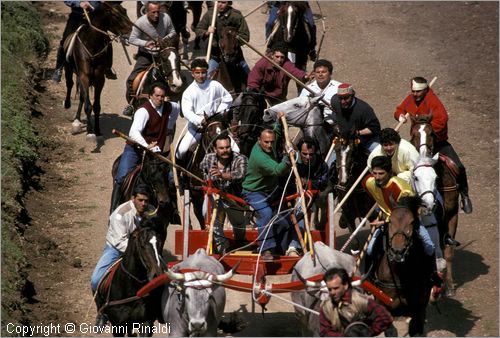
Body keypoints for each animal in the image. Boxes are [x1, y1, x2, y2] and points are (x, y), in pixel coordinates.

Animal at [63, 1, 132, 139]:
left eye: (125, 11)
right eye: (116, 15)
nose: (130, 31)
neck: (91, 44)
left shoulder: (99, 79)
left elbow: (96, 106)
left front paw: (97, 130)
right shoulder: (84, 76)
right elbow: (88, 106)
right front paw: (90, 132)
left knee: (82, 97)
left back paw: (78, 120)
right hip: (69, 69)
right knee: (70, 84)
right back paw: (70, 110)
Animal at [370, 195, 436, 336]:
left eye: (412, 221)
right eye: (390, 221)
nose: (397, 252)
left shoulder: (417, 308)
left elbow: (416, 327)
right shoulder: (384, 305)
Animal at [410, 114, 460, 296]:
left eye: (431, 133)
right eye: (414, 134)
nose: (424, 153)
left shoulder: (453, 215)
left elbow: (449, 252)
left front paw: (449, 285)